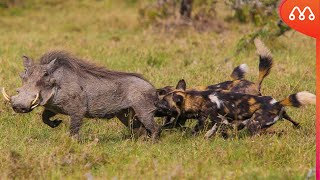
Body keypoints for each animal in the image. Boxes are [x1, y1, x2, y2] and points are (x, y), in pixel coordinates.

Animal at [155, 79, 316, 137]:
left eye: (163, 103)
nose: (154, 104)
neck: (196, 99)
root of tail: (278, 103)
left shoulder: (220, 121)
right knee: (293, 124)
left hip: (253, 125)